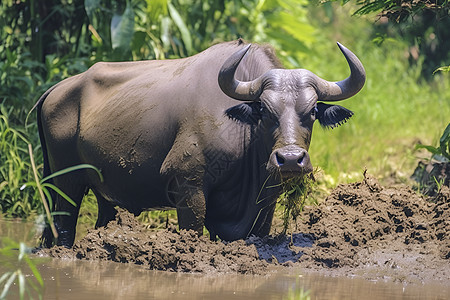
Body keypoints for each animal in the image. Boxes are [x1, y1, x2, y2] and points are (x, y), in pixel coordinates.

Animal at [37, 38, 366, 247]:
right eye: (264, 110)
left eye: (312, 112)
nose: (290, 159)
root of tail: (55, 90)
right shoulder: (188, 185)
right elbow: (193, 229)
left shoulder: (265, 201)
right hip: (66, 183)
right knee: (63, 227)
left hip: (104, 192)